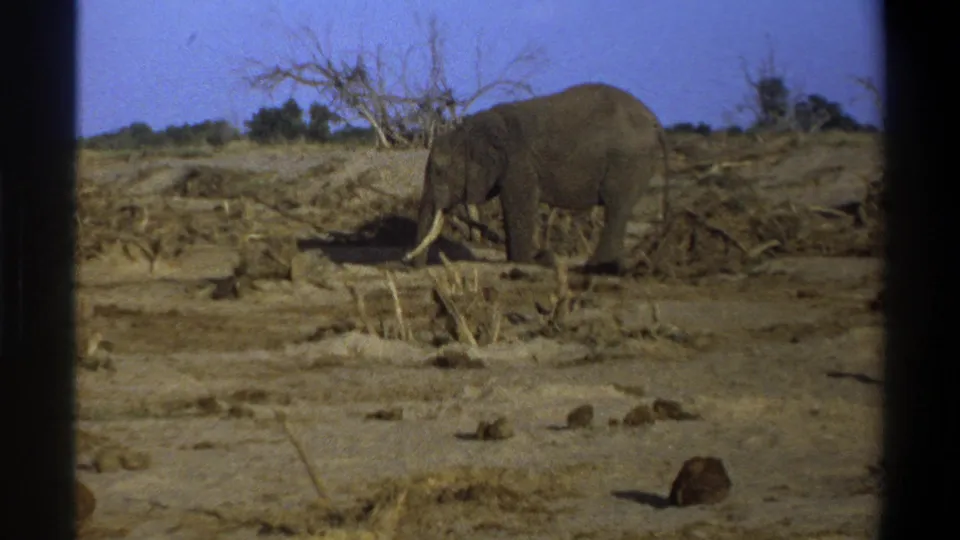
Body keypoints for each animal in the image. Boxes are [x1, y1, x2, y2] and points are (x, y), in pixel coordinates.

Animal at [403, 82, 671, 275]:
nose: (410, 264)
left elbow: (519, 204)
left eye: (439, 172)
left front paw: (523, 261)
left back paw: (597, 268)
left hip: (628, 160)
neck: (470, 130)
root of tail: (656, 122)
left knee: (616, 207)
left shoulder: (519, 163)